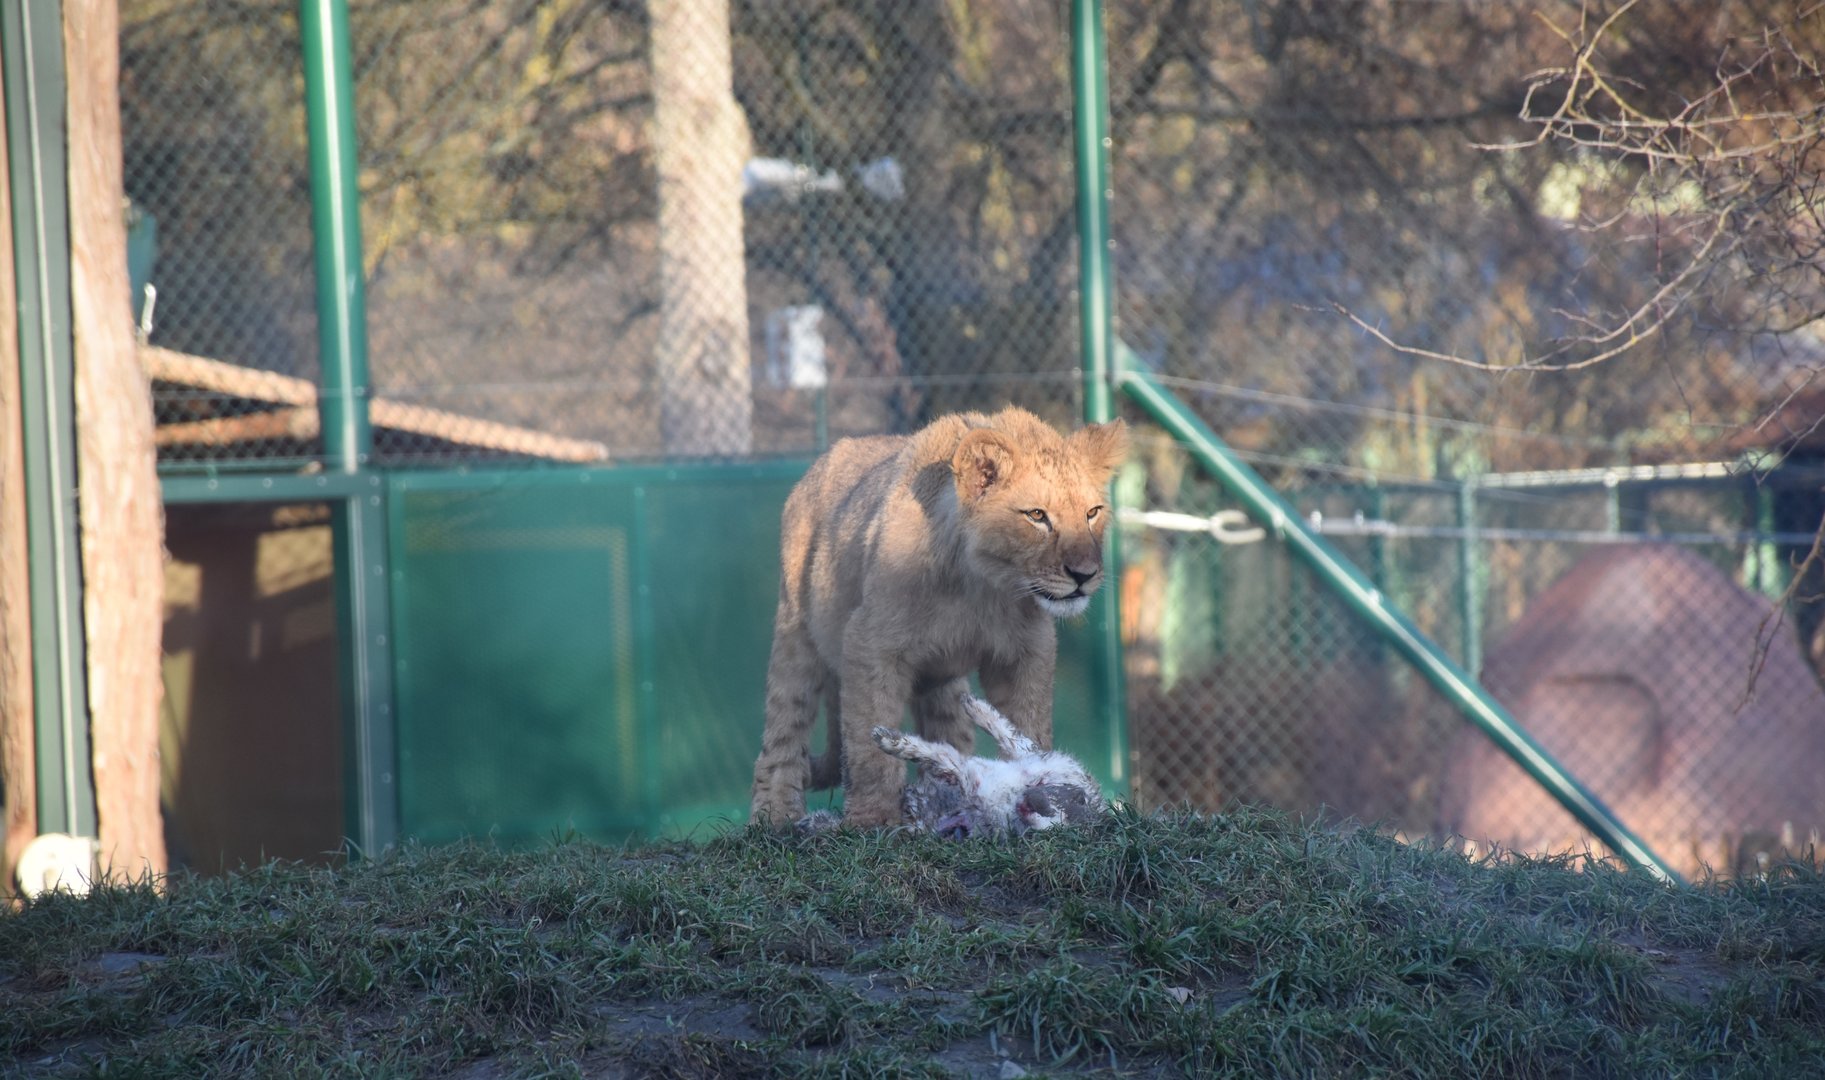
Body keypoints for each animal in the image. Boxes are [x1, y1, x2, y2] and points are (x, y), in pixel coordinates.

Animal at [749, 406, 1128, 828]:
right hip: (796, 631)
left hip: (941, 677)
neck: (981, 586)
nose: (1085, 575)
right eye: (1036, 515)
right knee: (784, 728)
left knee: (949, 728)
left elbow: (1027, 724)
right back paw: (775, 815)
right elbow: (867, 742)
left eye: (1092, 512)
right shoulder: (869, 643)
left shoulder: (1027, 650)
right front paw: (872, 819)